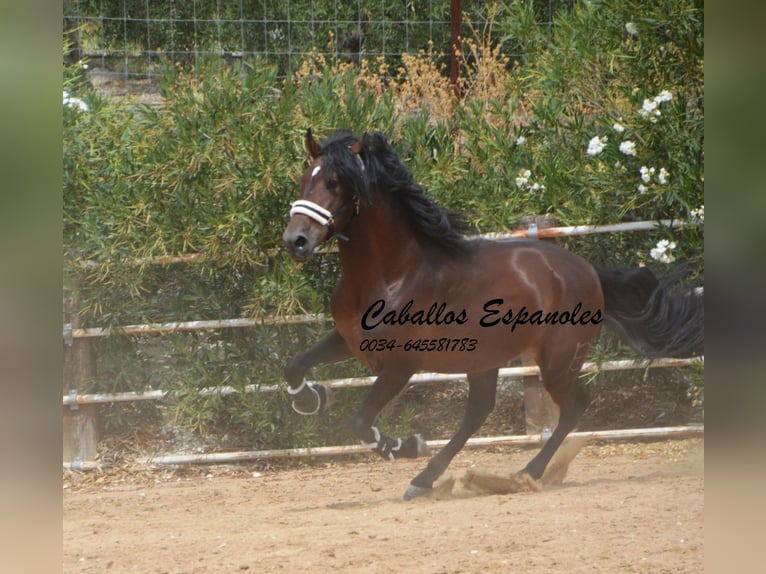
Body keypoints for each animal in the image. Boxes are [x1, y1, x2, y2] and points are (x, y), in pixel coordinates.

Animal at [284, 128, 708, 502]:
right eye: (304, 179)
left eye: (335, 183)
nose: (295, 241)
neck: (393, 274)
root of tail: (586, 270)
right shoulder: (348, 339)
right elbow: (294, 366)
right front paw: (311, 398)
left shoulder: (401, 364)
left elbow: (360, 422)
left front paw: (407, 444)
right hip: (485, 358)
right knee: (480, 411)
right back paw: (426, 480)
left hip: (557, 360)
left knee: (572, 408)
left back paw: (525, 474)